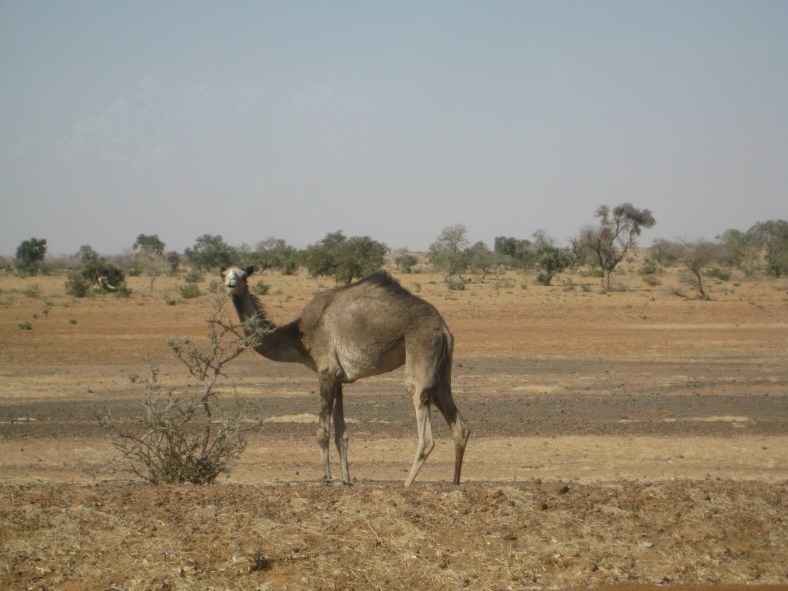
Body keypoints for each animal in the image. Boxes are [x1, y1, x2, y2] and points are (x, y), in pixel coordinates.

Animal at [221, 265, 470, 486]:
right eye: (224, 273)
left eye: (243, 275)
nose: (231, 284)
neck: (298, 336)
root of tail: (444, 329)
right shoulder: (338, 378)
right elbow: (341, 433)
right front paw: (346, 479)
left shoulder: (325, 371)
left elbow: (322, 431)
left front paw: (325, 478)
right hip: (442, 373)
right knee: (459, 425)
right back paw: (455, 481)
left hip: (421, 353)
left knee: (423, 423)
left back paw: (407, 483)